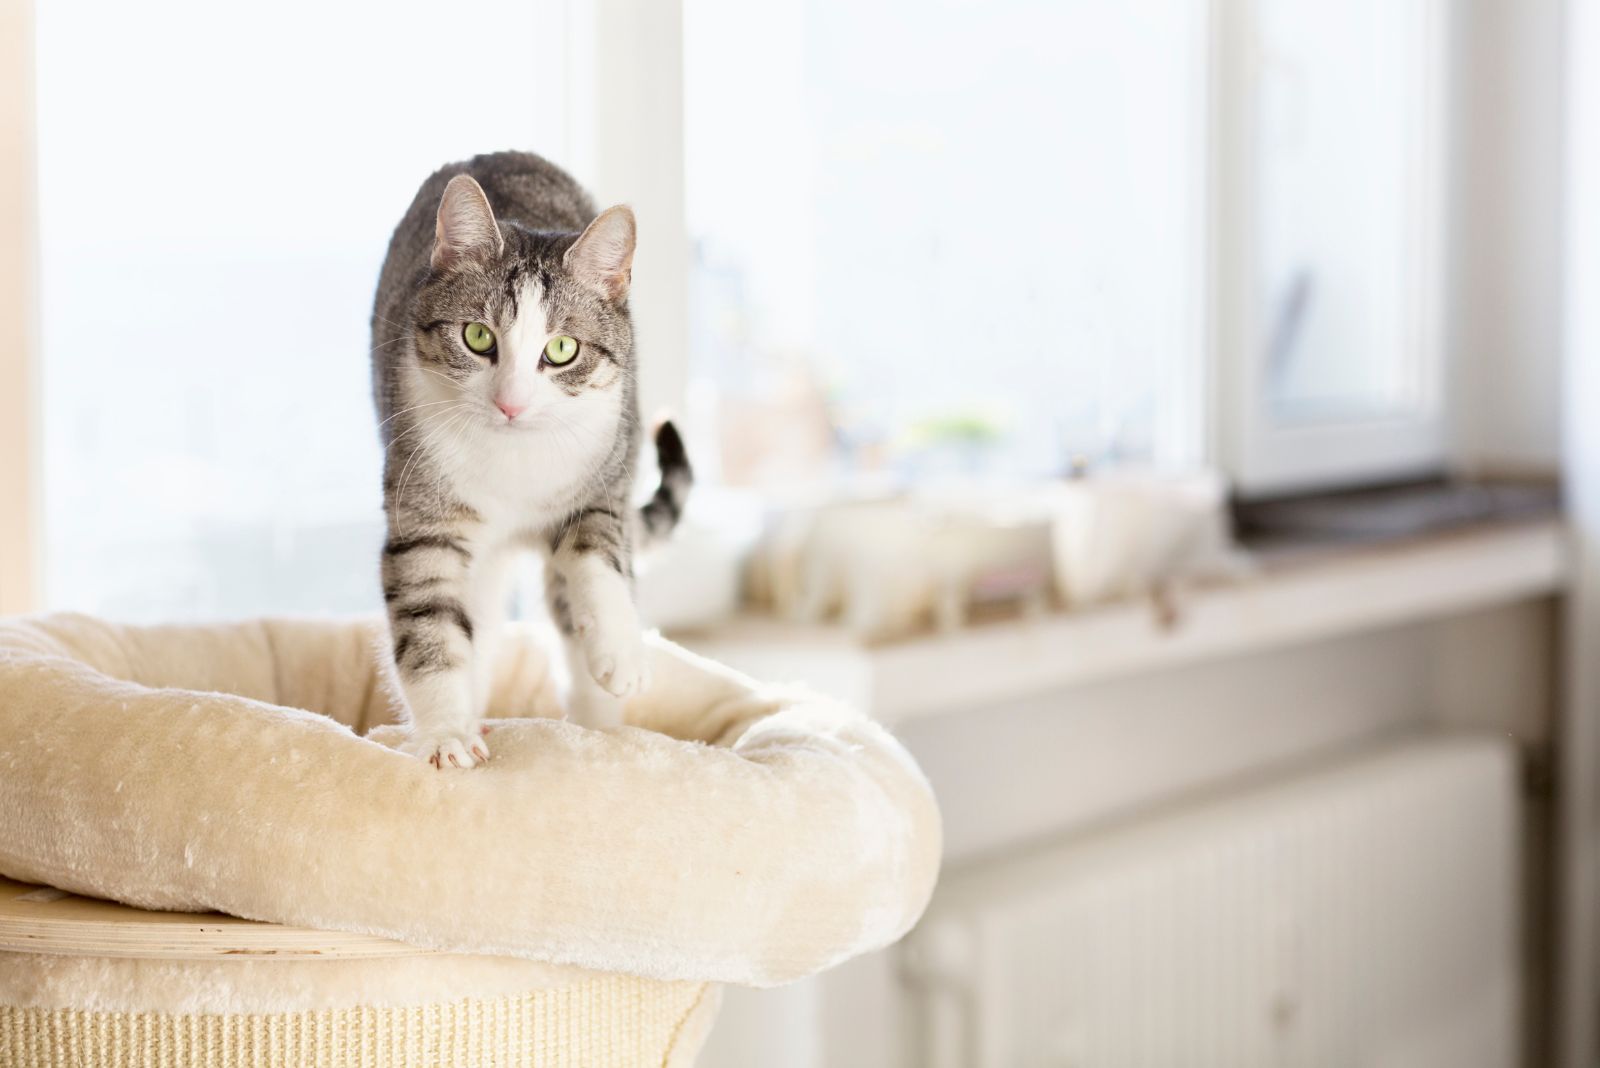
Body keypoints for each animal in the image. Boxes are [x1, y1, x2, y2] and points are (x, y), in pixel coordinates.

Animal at [371, 150, 691, 767]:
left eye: (562, 349)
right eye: (477, 337)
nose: (511, 402)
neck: (514, 460)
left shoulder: (605, 478)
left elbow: (599, 555)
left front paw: (619, 650)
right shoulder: (423, 514)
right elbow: (430, 621)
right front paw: (447, 733)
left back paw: (600, 724)